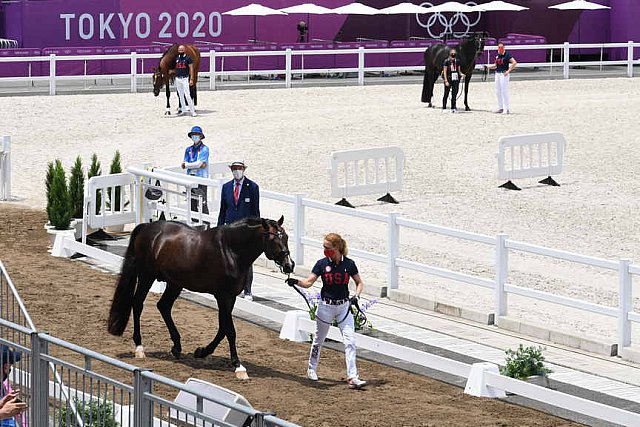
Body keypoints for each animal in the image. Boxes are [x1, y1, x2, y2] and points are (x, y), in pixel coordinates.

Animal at [106, 217, 294, 378]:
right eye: (273, 239)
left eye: (285, 236)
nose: (289, 265)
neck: (231, 250)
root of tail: (146, 226)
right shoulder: (223, 297)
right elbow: (230, 331)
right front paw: (238, 366)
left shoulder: (230, 298)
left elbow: (222, 329)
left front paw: (201, 351)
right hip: (147, 276)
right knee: (138, 304)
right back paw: (139, 347)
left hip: (174, 283)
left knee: (163, 306)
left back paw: (177, 347)